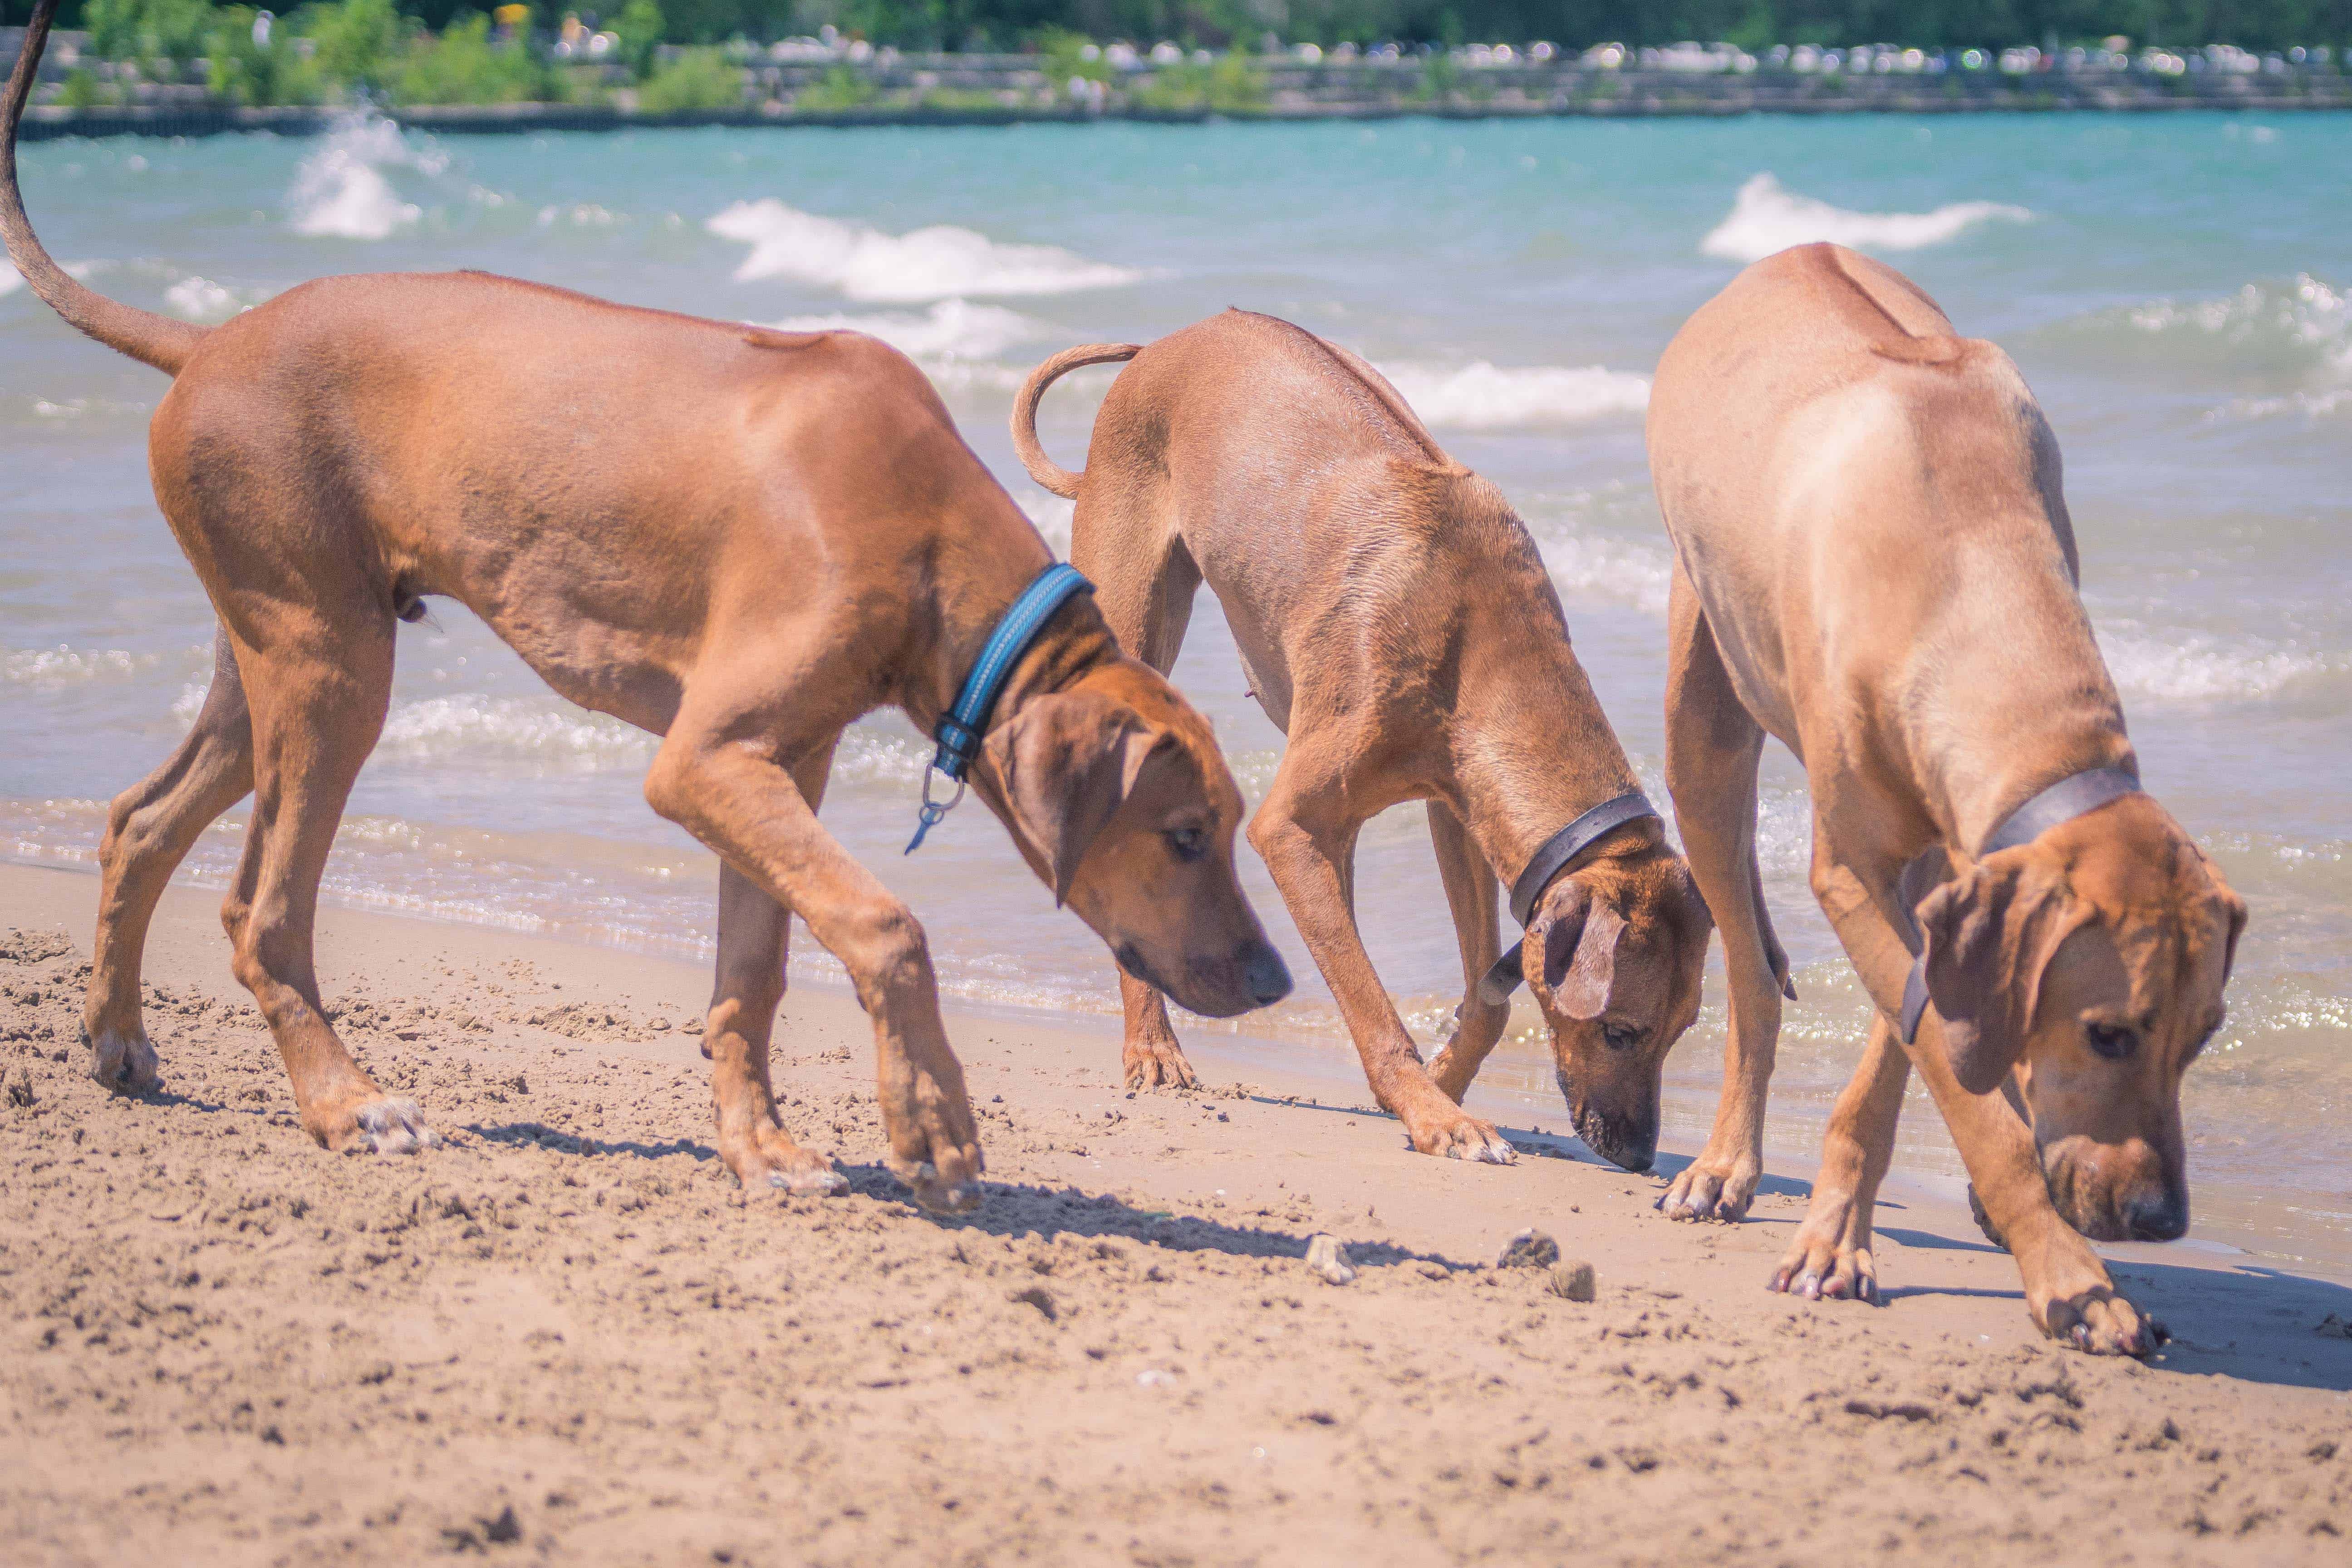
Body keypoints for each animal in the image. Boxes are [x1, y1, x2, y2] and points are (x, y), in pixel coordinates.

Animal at [0, 0, 1289, 1213]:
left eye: (1229, 827)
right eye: (1185, 833)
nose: (1276, 981)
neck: (926, 533)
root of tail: (211, 338)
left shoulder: (776, 763)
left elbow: (753, 974)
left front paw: (761, 1145)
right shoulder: (704, 762)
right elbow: (888, 923)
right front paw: (933, 1128)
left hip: (278, 640)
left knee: (140, 820)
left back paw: (117, 1038)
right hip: (331, 666)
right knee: (260, 909)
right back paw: (344, 1103)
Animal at [1011, 310, 1712, 1166]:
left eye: (1681, 1030)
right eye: (1619, 1031)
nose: (1638, 1154)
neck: (1484, 647)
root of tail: (1165, 342)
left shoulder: (1459, 810)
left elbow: (1485, 999)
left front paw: (1440, 1083)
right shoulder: (1284, 826)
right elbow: (1373, 1007)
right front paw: (1436, 1115)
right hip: (1137, 607)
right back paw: (1151, 1042)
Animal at [1646, 242, 2248, 1354]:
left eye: (2203, 1036)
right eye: (2108, 1032)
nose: (2159, 1219)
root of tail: (1782, 254)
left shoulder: (1954, 871)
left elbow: (1917, 1049)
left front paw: (1839, 1232)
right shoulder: (1854, 871)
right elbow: (1955, 1084)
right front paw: (2072, 1277)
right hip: (1699, 705)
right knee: (1747, 970)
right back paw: (1723, 1162)